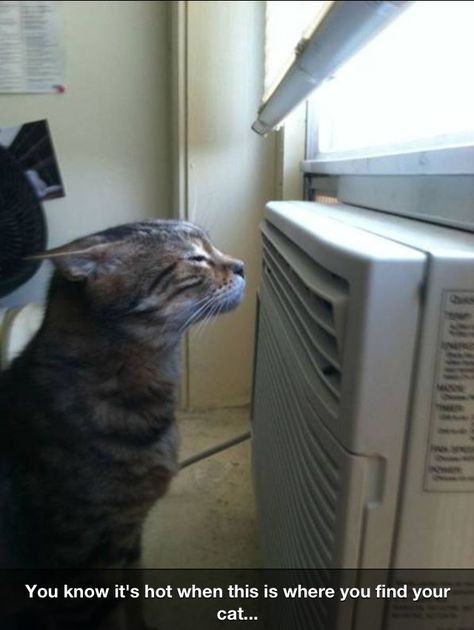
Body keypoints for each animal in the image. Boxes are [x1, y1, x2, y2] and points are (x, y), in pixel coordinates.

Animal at [0, 220, 244, 624]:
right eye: (196, 258)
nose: (241, 264)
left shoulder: (129, 535)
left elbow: (134, 596)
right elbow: (110, 613)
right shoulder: (86, 560)